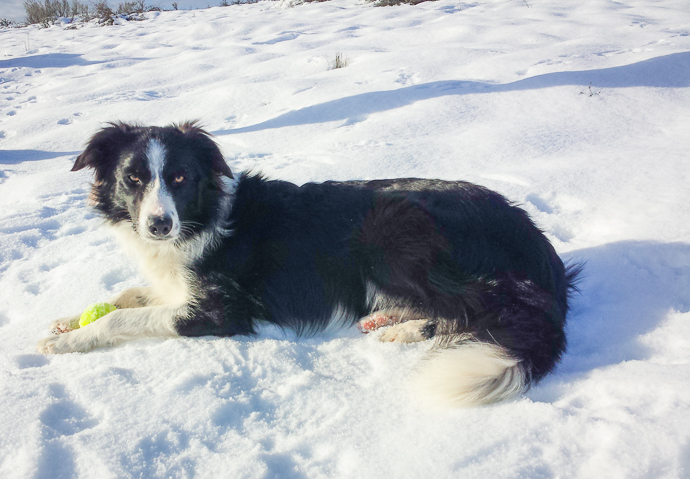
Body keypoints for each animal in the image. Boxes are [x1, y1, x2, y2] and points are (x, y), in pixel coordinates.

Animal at [36, 121, 579, 407]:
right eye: (133, 179)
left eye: (180, 177)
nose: (157, 226)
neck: (199, 219)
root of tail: (536, 241)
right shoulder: (173, 284)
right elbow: (126, 296)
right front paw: (68, 322)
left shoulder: (221, 310)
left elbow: (126, 316)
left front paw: (70, 342)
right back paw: (392, 319)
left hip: (389, 229)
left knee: (479, 309)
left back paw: (406, 327)